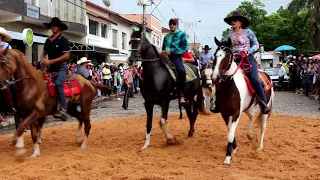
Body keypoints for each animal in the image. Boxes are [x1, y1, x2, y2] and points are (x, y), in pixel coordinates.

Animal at [205, 37, 276, 165]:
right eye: (215, 55)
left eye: (227, 56)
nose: (215, 77)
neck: (230, 88)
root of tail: (266, 75)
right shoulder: (225, 114)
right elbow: (230, 132)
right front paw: (234, 147)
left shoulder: (236, 114)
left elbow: (230, 134)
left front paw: (228, 157)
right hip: (247, 107)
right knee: (252, 116)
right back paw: (249, 135)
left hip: (265, 107)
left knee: (263, 126)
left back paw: (260, 147)